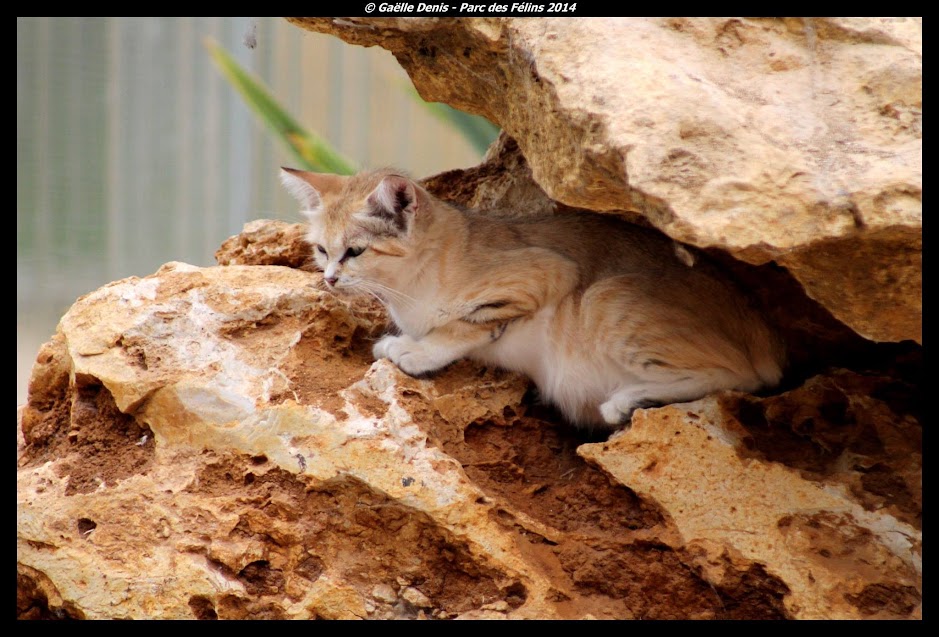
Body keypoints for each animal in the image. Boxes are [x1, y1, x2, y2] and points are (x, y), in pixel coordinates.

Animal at [280, 166, 784, 430]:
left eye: (355, 252)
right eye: (322, 250)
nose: (330, 279)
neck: (411, 287)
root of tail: (766, 333)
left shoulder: (547, 272)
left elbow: (463, 325)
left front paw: (415, 351)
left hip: (603, 297)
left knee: (737, 375)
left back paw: (628, 400)